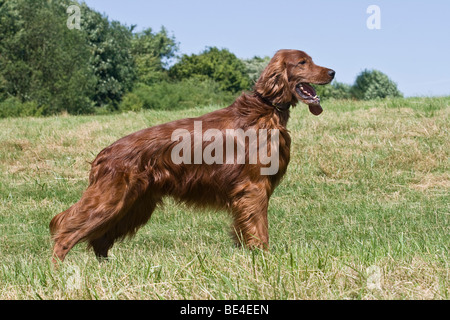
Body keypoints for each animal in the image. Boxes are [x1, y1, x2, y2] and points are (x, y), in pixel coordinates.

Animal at [49, 48, 334, 262]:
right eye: (302, 62)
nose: (332, 72)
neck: (266, 109)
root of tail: (104, 154)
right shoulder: (254, 188)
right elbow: (258, 229)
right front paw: (264, 259)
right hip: (111, 199)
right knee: (64, 228)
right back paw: (57, 270)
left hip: (133, 205)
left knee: (100, 238)